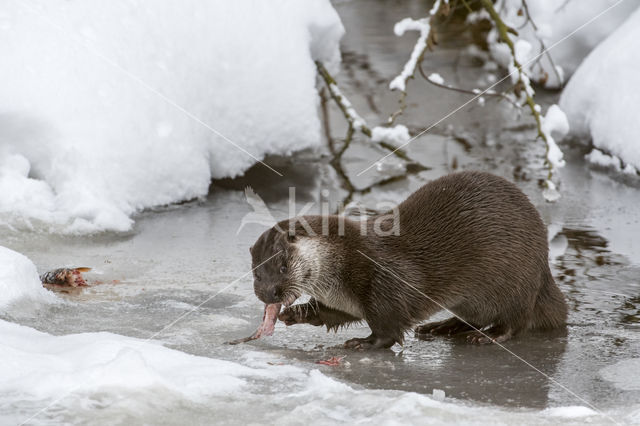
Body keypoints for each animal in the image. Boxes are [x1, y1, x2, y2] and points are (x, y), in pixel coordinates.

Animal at [248, 171, 568, 350]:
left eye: (283, 266)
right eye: (256, 274)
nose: (269, 294)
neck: (345, 263)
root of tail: (543, 268)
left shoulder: (387, 284)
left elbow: (388, 330)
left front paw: (363, 343)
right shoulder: (343, 300)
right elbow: (334, 315)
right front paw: (295, 314)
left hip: (515, 280)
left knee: (517, 321)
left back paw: (488, 337)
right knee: (474, 318)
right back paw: (441, 327)